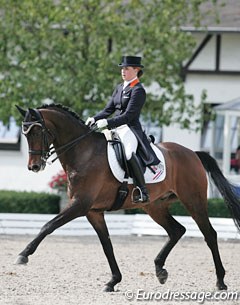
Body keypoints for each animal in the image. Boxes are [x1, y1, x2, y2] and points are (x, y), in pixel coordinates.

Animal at [15, 105, 240, 292]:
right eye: (25, 134)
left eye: (37, 132)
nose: (34, 166)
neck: (84, 153)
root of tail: (192, 153)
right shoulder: (93, 211)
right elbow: (107, 245)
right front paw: (113, 281)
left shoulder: (80, 205)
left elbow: (49, 225)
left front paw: (23, 254)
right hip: (155, 206)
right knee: (177, 230)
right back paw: (160, 270)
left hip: (193, 200)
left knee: (209, 234)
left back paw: (220, 281)